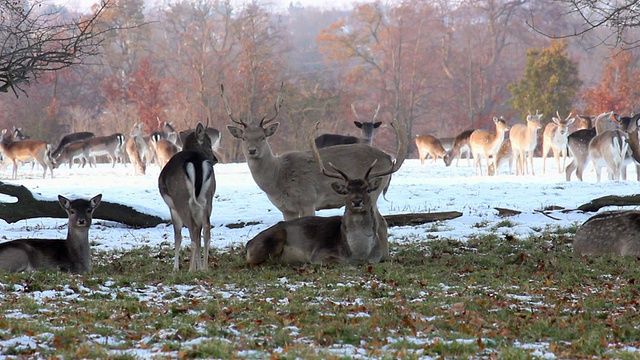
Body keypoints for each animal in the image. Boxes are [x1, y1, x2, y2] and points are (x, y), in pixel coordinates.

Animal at [158, 122, 218, 272]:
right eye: (209, 144)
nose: (215, 159)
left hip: (181, 199)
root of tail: (195, 160)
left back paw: (190, 269)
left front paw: (175, 269)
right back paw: (205, 268)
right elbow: (199, 234)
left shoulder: (172, 207)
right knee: (206, 228)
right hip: (208, 198)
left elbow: (177, 235)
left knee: (193, 228)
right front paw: (199, 266)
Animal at [222, 82, 408, 221]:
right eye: (244, 138)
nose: (252, 150)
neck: (278, 180)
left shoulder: (307, 200)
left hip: (374, 189)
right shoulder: (286, 209)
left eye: (262, 137)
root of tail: (388, 157)